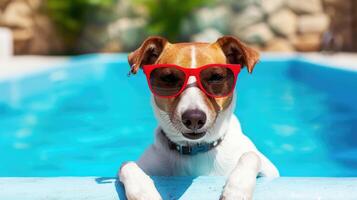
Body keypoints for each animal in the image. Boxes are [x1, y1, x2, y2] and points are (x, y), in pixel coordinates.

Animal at [119, 36, 278, 200]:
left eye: (216, 77)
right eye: (169, 78)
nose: (194, 118)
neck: (196, 150)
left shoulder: (270, 171)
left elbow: (251, 155)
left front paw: (237, 189)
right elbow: (126, 164)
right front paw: (143, 191)